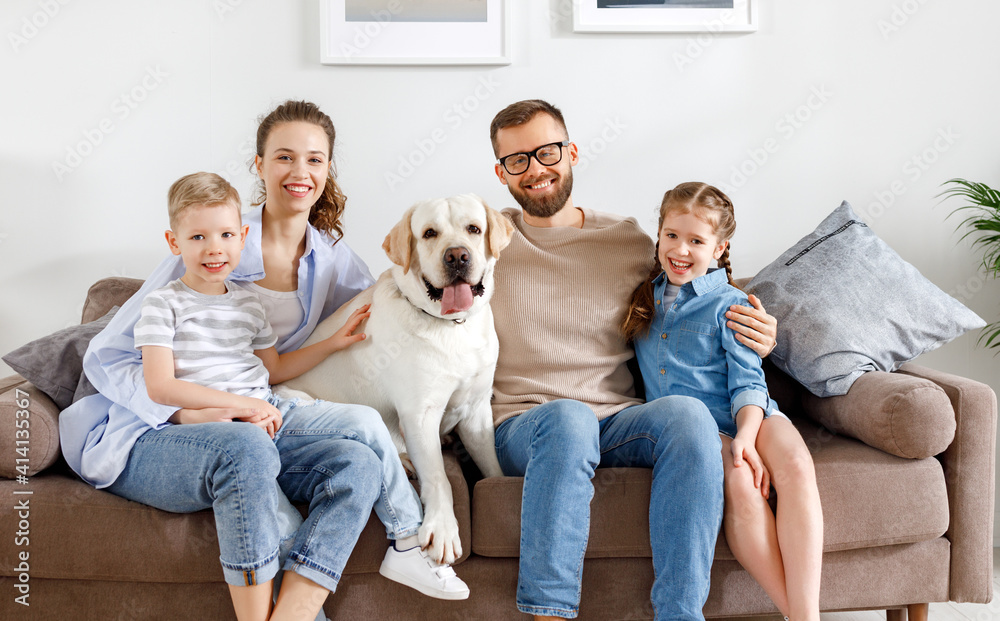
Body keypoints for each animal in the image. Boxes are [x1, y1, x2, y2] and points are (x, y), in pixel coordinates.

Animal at [278, 196, 512, 564]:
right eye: (429, 233)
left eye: (474, 229)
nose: (457, 256)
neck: (453, 326)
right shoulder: (420, 414)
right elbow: (439, 477)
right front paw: (443, 529)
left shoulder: (476, 411)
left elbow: (492, 466)